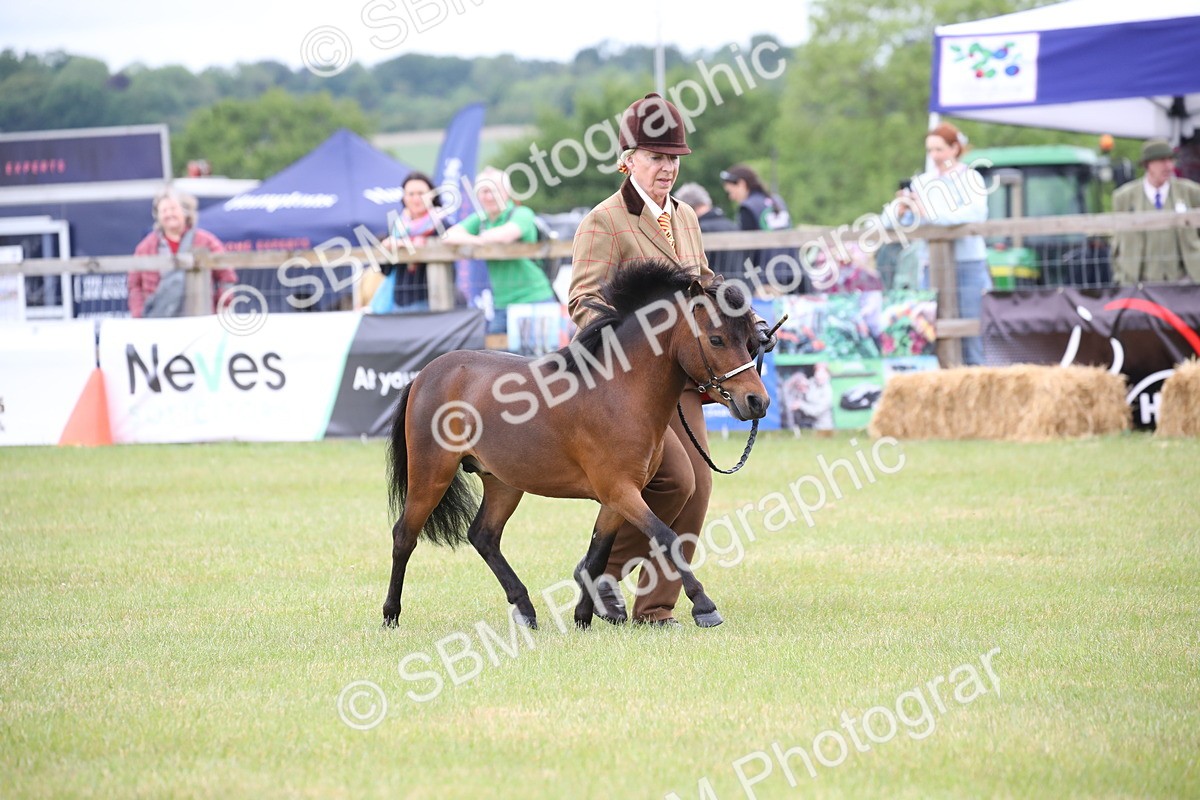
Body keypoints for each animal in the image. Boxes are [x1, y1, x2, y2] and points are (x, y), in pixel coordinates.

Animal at [382, 259, 770, 630]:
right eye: (716, 339)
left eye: (750, 340)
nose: (757, 401)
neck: (618, 392)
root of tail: (427, 374)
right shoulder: (621, 491)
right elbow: (666, 537)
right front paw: (705, 606)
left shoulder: (616, 500)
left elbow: (597, 555)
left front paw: (584, 618)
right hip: (432, 474)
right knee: (404, 535)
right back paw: (391, 615)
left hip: (503, 482)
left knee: (484, 536)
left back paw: (526, 609)